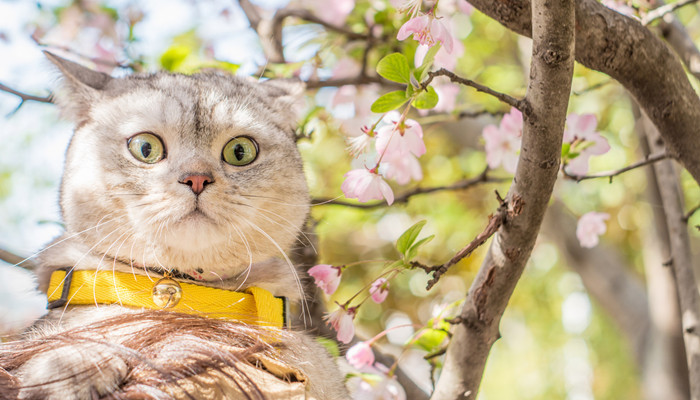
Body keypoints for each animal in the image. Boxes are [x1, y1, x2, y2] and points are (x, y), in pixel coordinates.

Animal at [0, 53, 350, 400]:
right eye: (145, 148)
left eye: (240, 151)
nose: (196, 178)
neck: (183, 291)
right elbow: (75, 339)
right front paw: (68, 368)